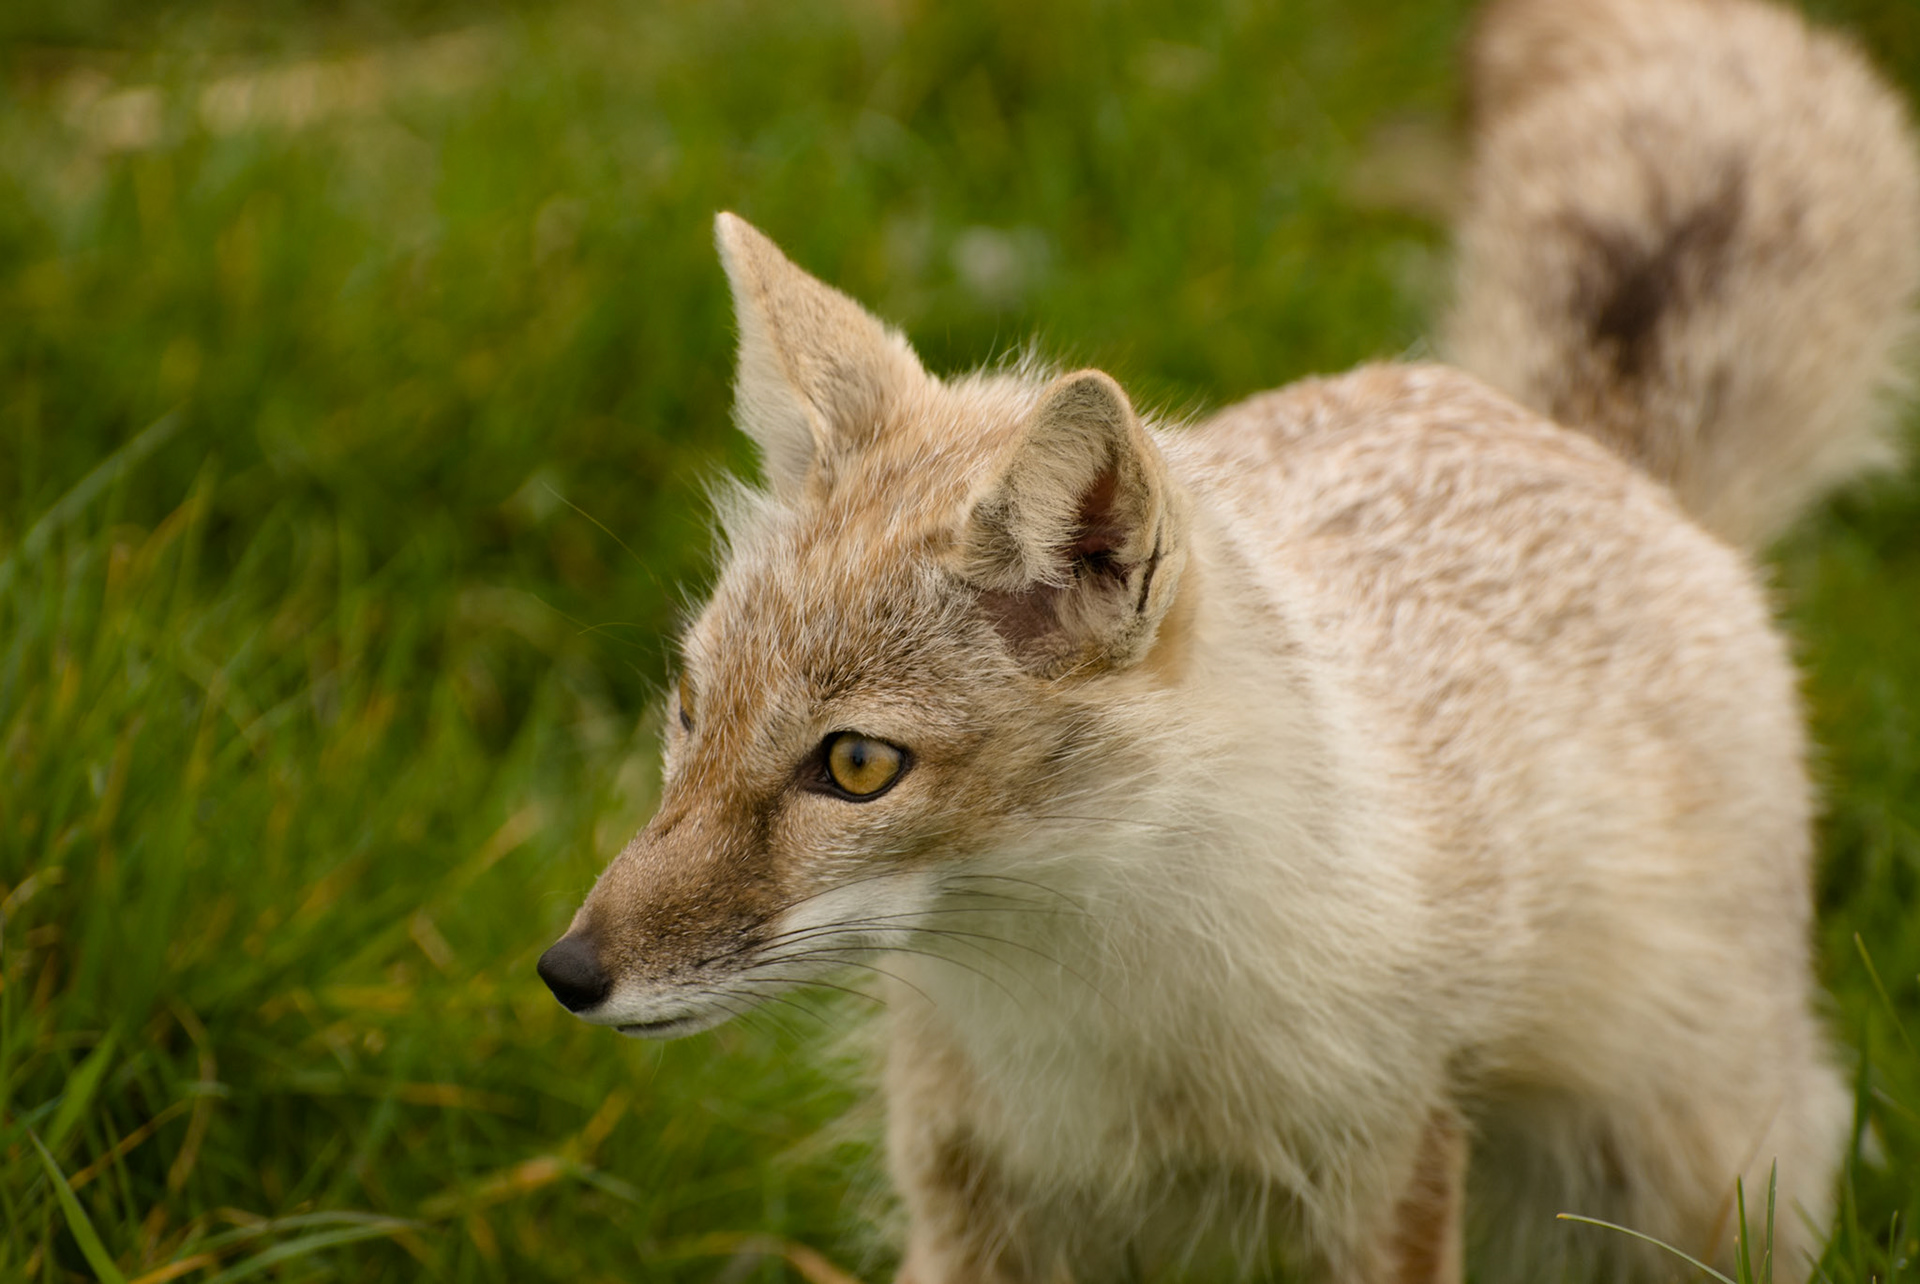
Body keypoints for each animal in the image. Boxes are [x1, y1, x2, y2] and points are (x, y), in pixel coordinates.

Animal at [535, 0, 1920, 1278]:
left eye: (857, 766)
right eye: (690, 710)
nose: (566, 970)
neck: (1104, 1024)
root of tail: (1568, 431)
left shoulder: (1390, 1169)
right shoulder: (969, 1195)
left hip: (1691, 1187)